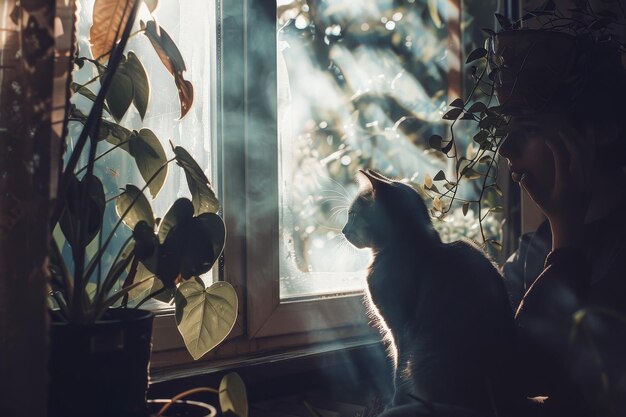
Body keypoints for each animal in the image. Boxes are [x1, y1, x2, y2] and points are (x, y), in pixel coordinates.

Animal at [342, 170, 516, 416]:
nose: (343, 231)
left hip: (424, 354)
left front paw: (394, 402)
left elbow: (398, 369)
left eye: (352, 214)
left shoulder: (400, 328)